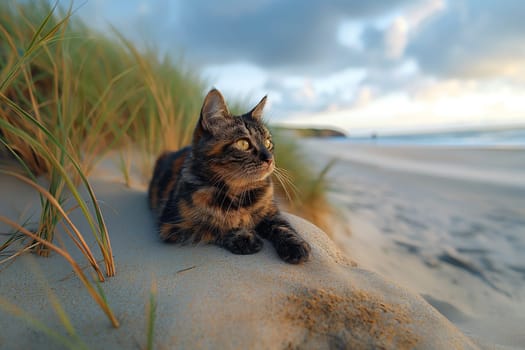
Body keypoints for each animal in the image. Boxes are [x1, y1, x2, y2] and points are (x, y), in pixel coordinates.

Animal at [147, 89, 310, 264]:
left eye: (268, 143)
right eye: (243, 143)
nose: (269, 159)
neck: (240, 194)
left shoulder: (271, 211)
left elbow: (282, 226)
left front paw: (295, 245)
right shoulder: (173, 225)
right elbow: (214, 226)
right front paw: (244, 237)